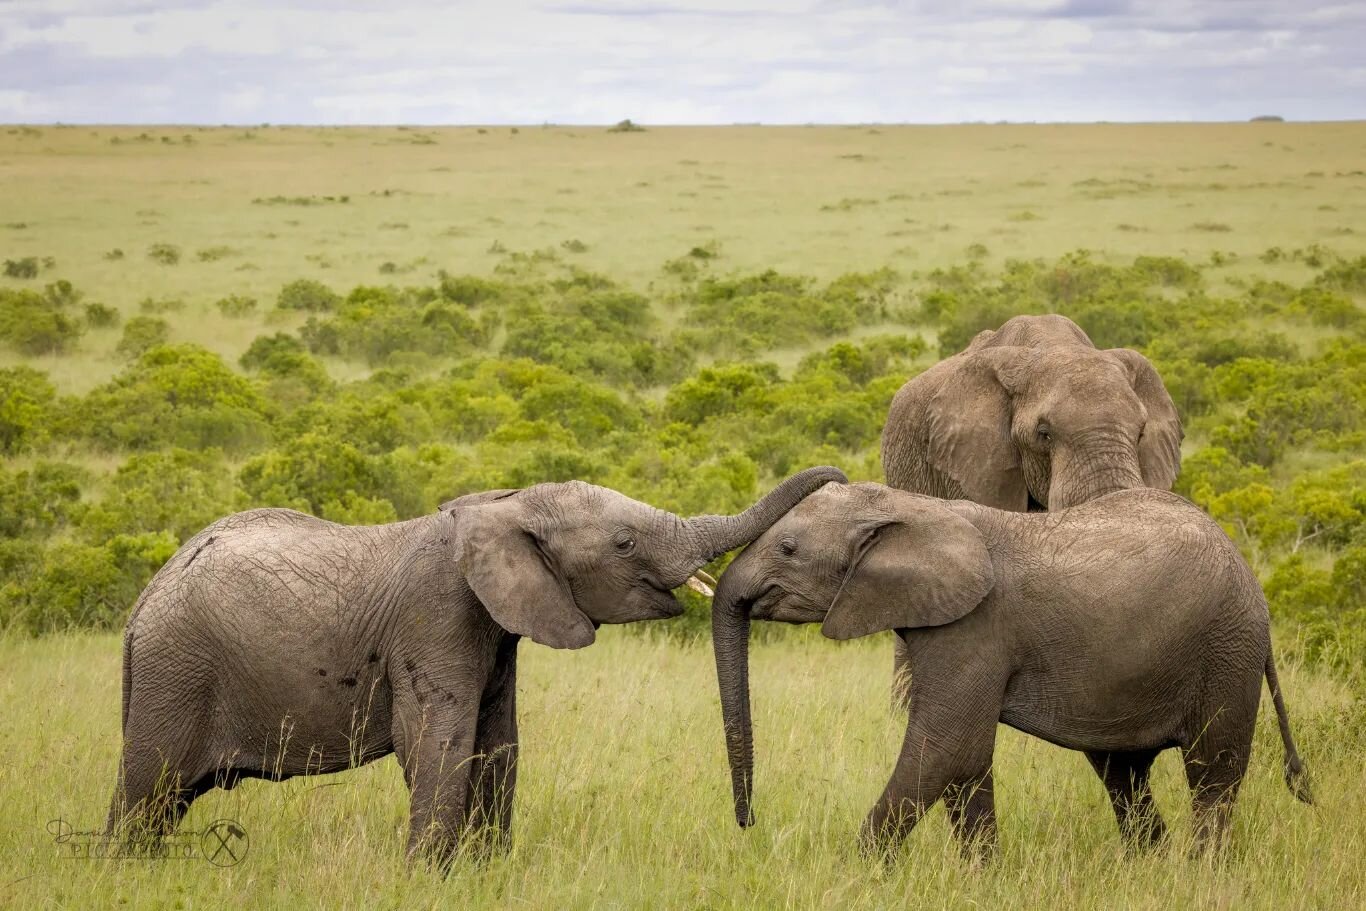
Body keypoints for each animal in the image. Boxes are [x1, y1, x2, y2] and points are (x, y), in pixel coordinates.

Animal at [109, 467, 841, 868]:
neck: (506, 503)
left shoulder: (496, 628)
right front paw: (427, 878)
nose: (748, 824)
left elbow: (498, 743)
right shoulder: (436, 617)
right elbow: (441, 740)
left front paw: (485, 872)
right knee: (148, 787)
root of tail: (143, 601)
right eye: (624, 542)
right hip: (177, 671)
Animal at [710, 480, 1305, 857]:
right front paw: (983, 877)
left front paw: (860, 873)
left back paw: (1199, 870)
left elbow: (943, 745)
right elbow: (966, 757)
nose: (748, 821)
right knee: (1123, 774)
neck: (914, 507)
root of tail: (1250, 575)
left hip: (1227, 649)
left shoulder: (975, 628)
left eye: (788, 549)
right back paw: (1149, 865)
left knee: (1212, 772)